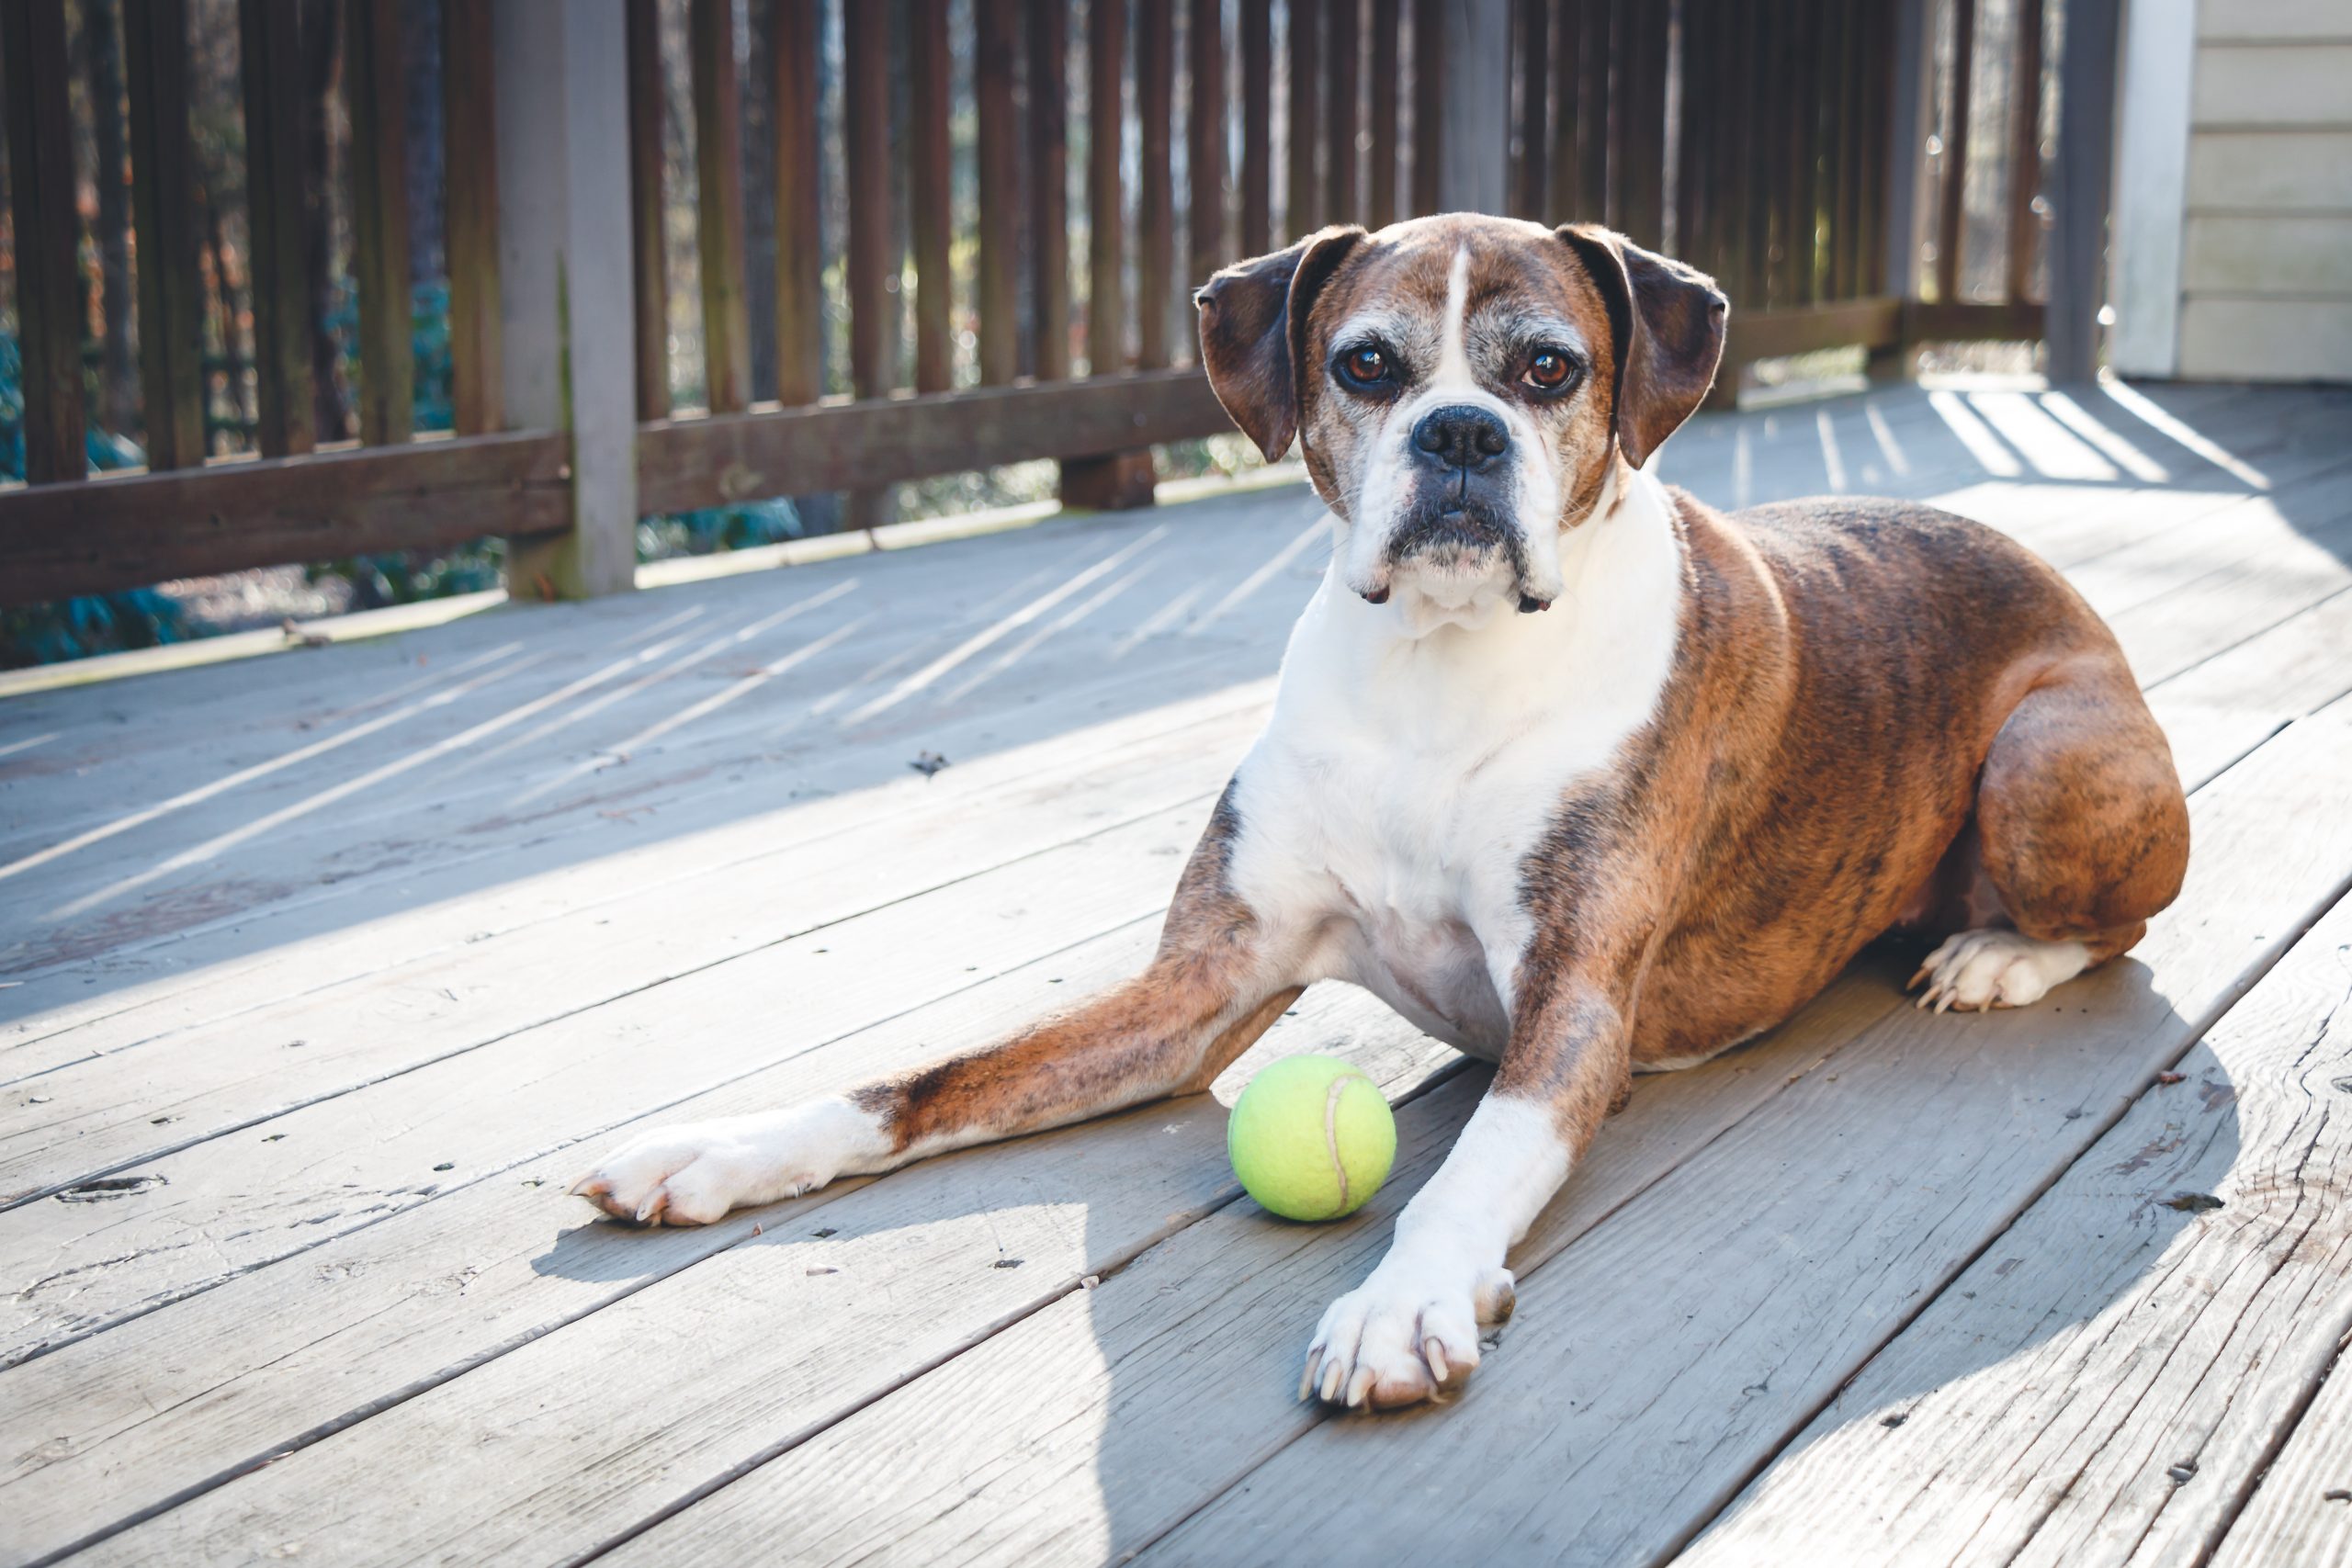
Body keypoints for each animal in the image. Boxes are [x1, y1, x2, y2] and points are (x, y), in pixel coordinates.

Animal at [578, 215, 2191, 1419]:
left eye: (1548, 366)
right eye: (1365, 364)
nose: (1462, 433)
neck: (1438, 665)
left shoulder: (1573, 1010)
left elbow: (1465, 1171)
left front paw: (1401, 1301)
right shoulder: (1196, 988)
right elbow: (926, 1078)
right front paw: (718, 1149)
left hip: (2048, 758)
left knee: (2118, 923)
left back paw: (1997, 954)